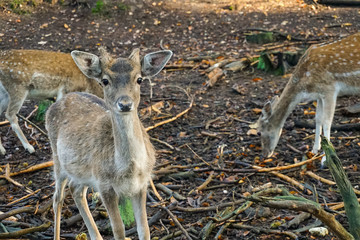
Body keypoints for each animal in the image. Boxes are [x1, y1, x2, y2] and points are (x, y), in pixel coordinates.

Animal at [45, 47, 172, 240]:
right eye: (105, 80)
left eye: (139, 79)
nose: (125, 104)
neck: (128, 169)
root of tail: (58, 102)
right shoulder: (105, 186)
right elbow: (118, 230)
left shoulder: (142, 183)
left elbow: (144, 228)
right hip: (57, 159)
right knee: (57, 198)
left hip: (82, 172)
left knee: (76, 190)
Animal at [258, 31, 360, 163]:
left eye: (259, 131)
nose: (264, 155)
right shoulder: (319, 94)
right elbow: (318, 119)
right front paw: (314, 150)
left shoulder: (329, 89)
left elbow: (327, 121)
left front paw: (325, 159)